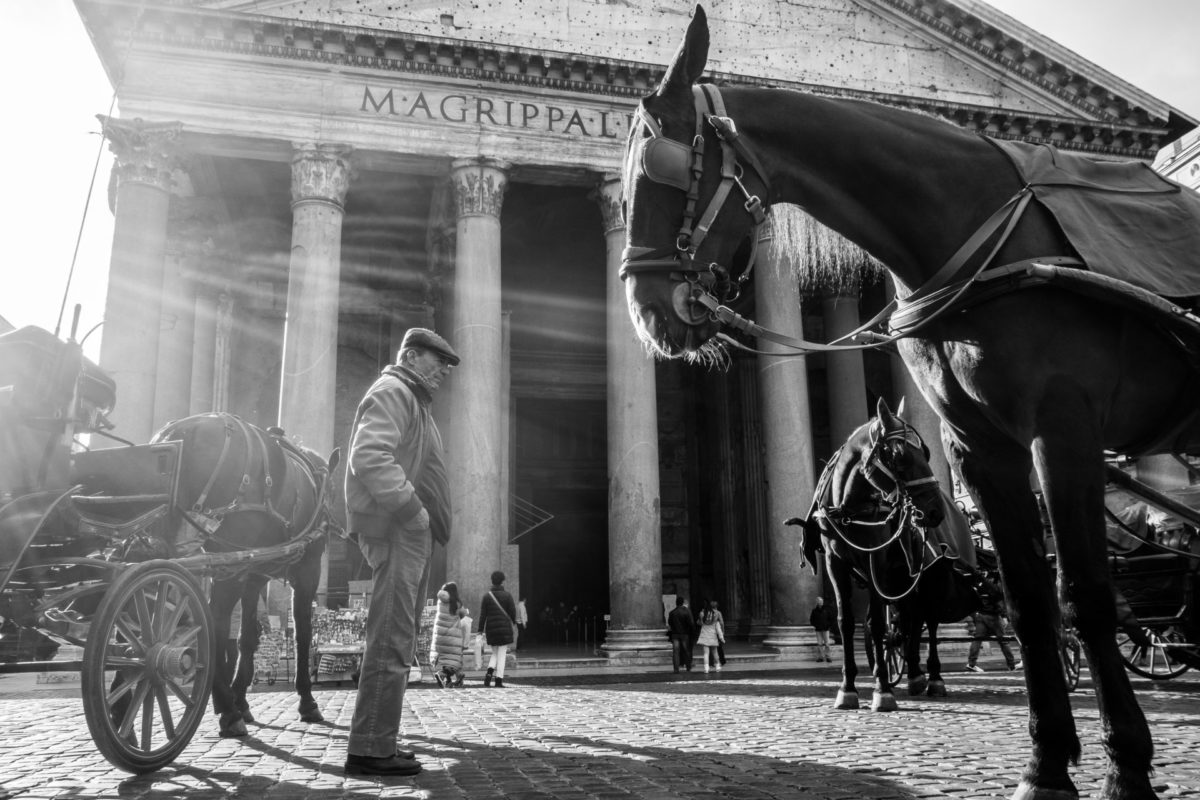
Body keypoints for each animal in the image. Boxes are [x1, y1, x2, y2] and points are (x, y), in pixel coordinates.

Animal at [792, 400, 979, 714]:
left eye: (927, 452)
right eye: (900, 455)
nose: (934, 512)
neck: (849, 507)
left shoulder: (875, 561)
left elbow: (877, 623)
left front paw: (882, 691)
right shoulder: (834, 563)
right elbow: (846, 621)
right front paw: (848, 688)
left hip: (932, 573)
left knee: (929, 619)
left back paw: (934, 678)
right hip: (902, 575)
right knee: (911, 618)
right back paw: (914, 675)